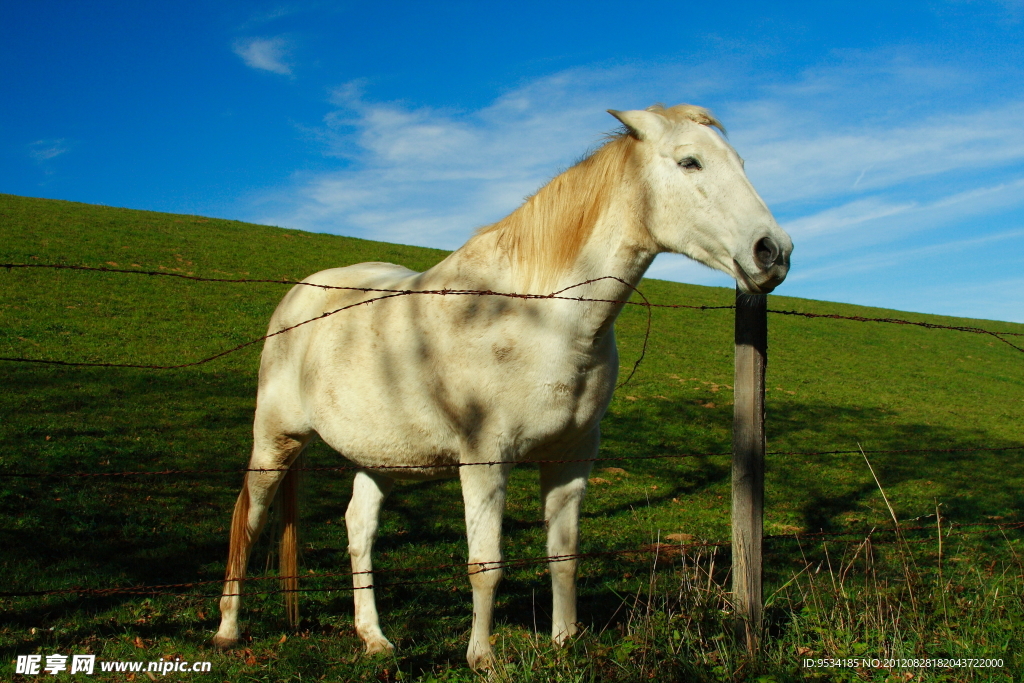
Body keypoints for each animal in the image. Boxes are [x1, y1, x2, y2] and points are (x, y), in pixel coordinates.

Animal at [211, 104, 790, 671]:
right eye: (690, 161)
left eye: (739, 161)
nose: (773, 251)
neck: (540, 315)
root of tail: (299, 296)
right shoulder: (485, 460)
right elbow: (485, 564)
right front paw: (482, 658)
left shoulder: (571, 459)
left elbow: (563, 556)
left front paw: (565, 642)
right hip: (275, 442)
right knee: (248, 523)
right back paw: (227, 631)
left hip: (382, 459)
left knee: (358, 529)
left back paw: (373, 638)